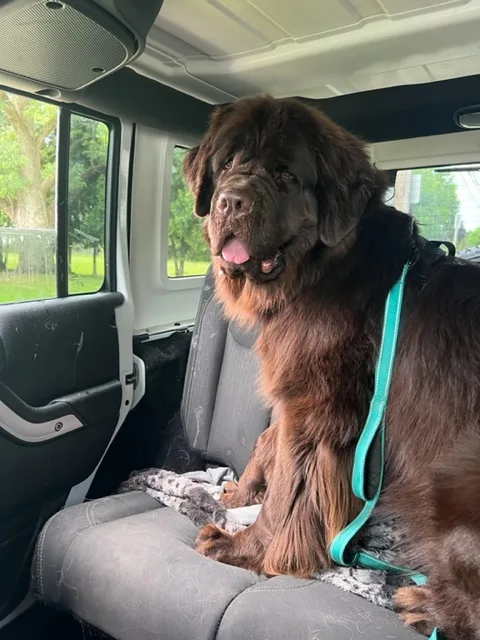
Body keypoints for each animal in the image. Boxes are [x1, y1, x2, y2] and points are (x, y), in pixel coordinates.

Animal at [184, 97, 480, 636]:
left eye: (285, 173)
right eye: (228, 163)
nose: (231, 202)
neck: (317, 272)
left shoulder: (316, 410)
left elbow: (287, 491)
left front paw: (246, 548)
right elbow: (270, 447)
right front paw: (239, 497)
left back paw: (427, 604)